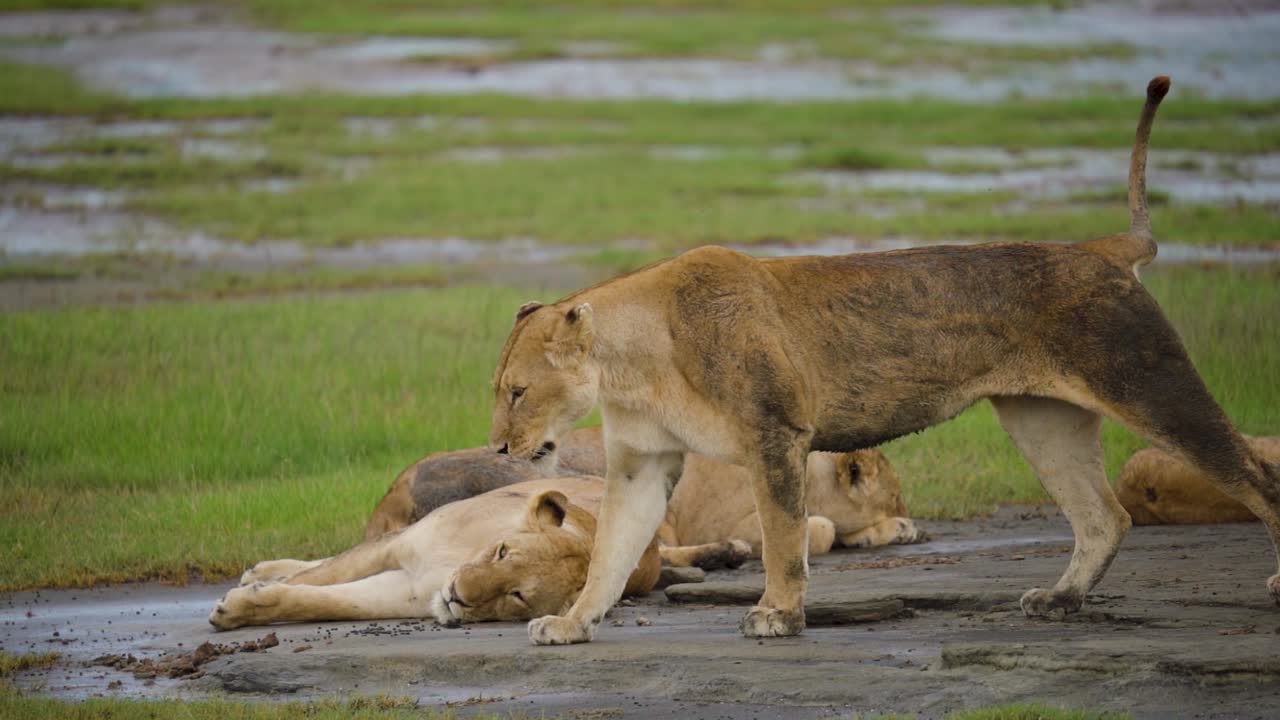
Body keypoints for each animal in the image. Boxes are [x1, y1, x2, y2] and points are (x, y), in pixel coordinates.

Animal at [208, 478, 660, 630]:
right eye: (502, 552)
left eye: (517, 595)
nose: (457, 594)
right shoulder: (396, 545)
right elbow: (316, 578)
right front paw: (244, 597)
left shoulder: (403, 591)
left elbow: (319, 601)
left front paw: (239, 608)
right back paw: (261, 570)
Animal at [365, 425, 924, 567]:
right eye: (896, 499)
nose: (905, 517)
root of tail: (384, 504)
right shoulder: (744, 517)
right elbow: (823, 528)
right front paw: (891, 529)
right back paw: (726, 553)